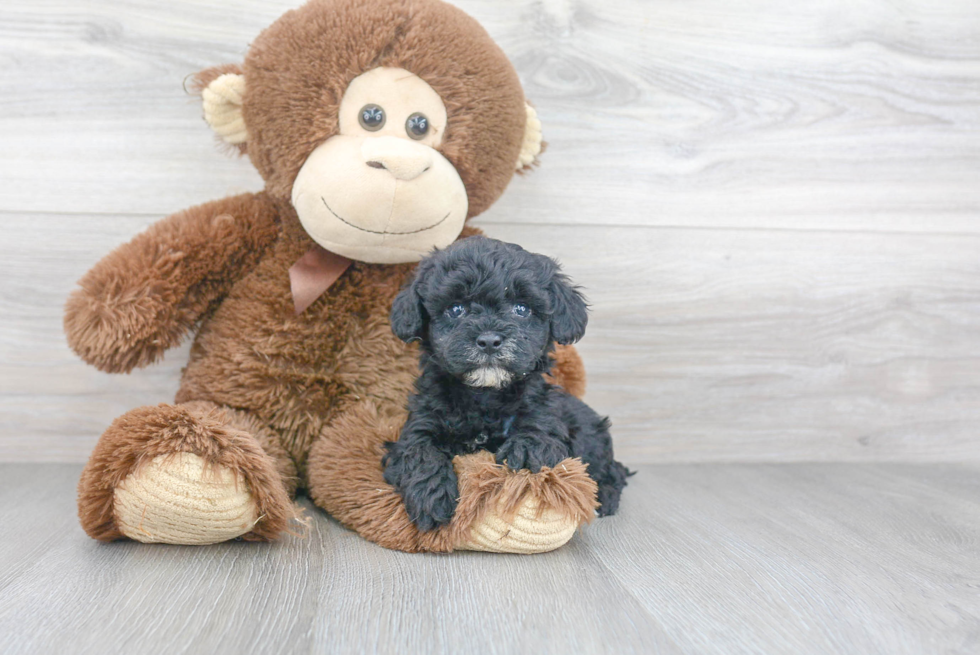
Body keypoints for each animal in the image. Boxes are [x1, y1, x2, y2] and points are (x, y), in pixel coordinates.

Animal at [382, 236, 628, 532]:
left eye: (521, 309)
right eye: (455, 309)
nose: (489, 340)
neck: (485, 397)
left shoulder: (544, 413)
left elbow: (540, 433)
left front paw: (526, 449)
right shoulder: (420, 422)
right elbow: (418, 450)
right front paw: (431, 496)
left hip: (592, 435)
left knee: (613, 471)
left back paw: (604, 497)